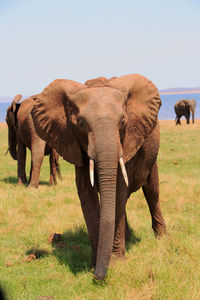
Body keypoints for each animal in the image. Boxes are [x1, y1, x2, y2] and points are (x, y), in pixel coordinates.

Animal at [30, 74, 166, 280]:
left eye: (123, 122)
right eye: (81, 124)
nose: (98, 277)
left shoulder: (127, 141)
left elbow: (118, 189)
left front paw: (116, 261)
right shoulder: (74, 144)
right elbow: (86, 193)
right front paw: (94, 265)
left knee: (152, 192)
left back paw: (163, 238)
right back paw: (128, 238)